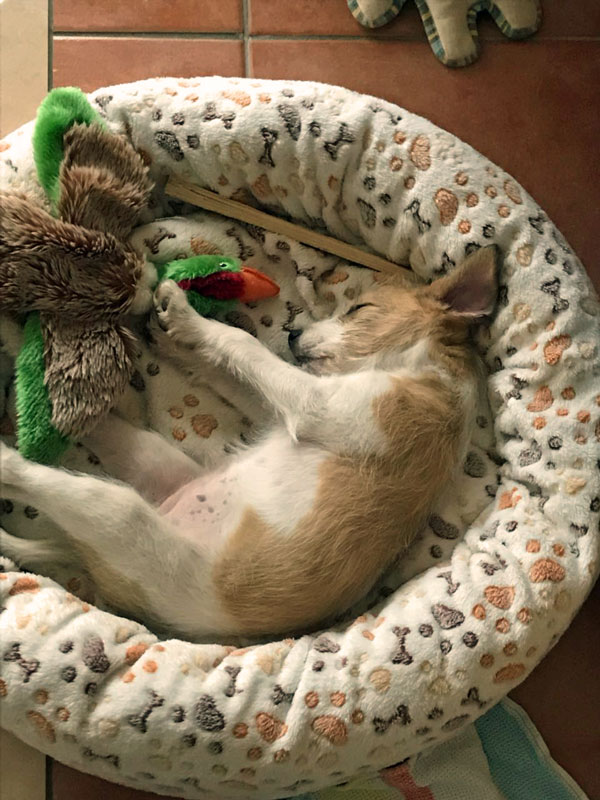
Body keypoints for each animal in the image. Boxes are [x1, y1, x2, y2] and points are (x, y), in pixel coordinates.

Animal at [0, 245, 499, 640]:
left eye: (358, 310)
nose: (293, 333)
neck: (419, 371)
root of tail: (93, 567)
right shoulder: (280, 407)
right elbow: (230, 373)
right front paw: (178, 341)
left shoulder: (319, 404)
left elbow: (241, 343)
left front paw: (187, 319)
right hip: (151, 461)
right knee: (86, 423)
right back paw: (16, 340)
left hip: (121, 516)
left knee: (43, 480)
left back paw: (7, 458)